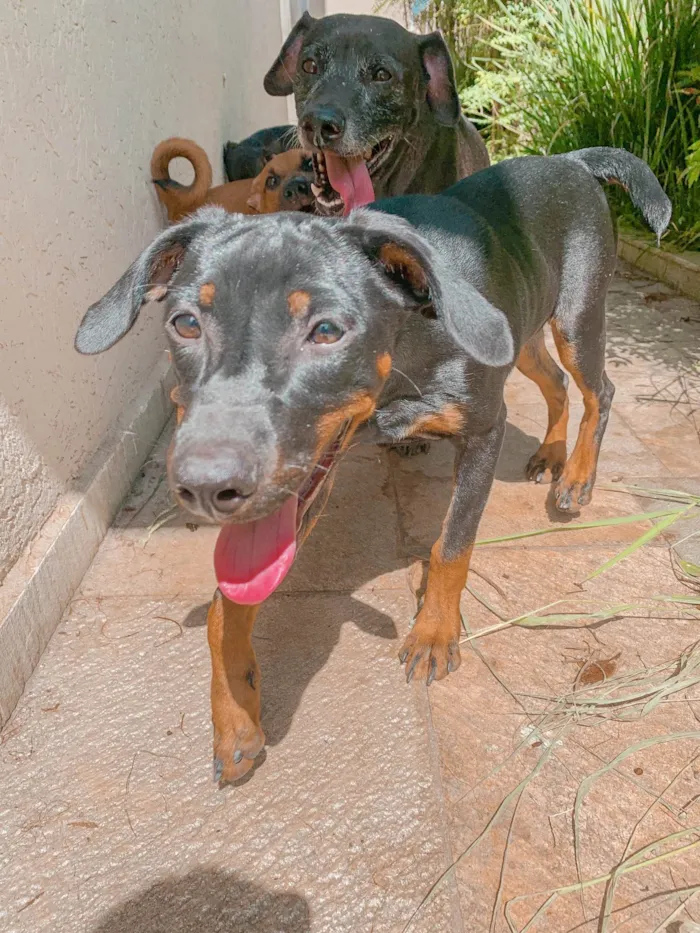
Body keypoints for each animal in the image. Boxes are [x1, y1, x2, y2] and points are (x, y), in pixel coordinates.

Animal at [74, 149, 668, 784]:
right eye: (185, 323)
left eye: (327, 331)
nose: (206, 488)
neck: (408, 347)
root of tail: (571, 159)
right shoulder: (312, 473)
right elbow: (226, 602)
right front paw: (235, 720)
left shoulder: (484, 431)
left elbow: (452, 545)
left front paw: (434, 633)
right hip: (523, 332)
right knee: (554, 382)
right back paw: (551, 455)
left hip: (577, 315)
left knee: (599, 389)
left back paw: (576, 477)